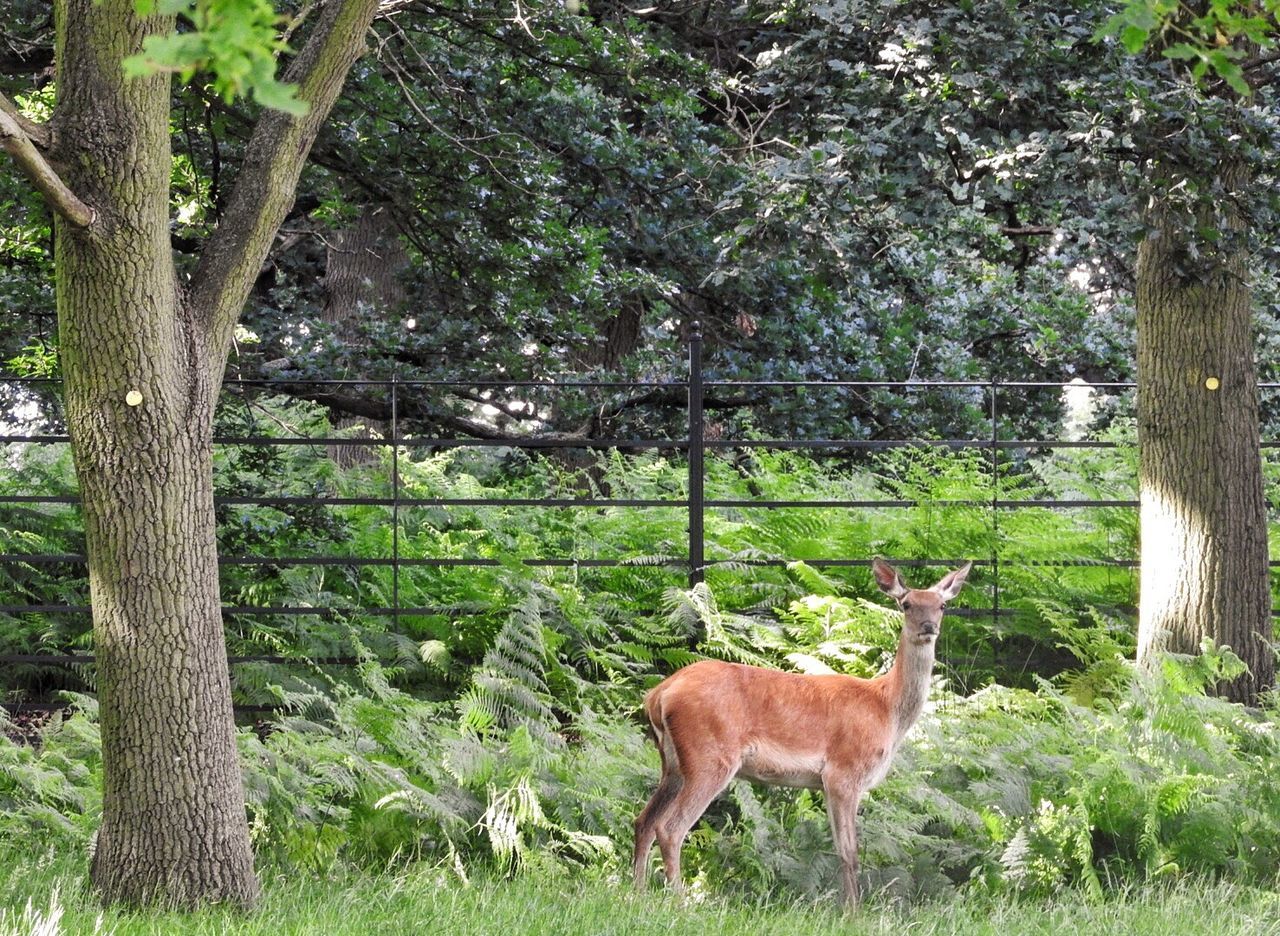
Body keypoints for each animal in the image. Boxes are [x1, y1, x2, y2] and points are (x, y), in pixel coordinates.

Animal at [629, 555, 967, 906]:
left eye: (942, 605)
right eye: (906, 604)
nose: (928, 626)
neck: (886, 708)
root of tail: (659, 694)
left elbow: (841, 849)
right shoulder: (844, 772)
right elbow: (850, 852)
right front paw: (854, 911)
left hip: (672, 763)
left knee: (643, 821)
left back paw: (637, 895)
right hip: (709, 755)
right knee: (671, 828)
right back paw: (679, 903)